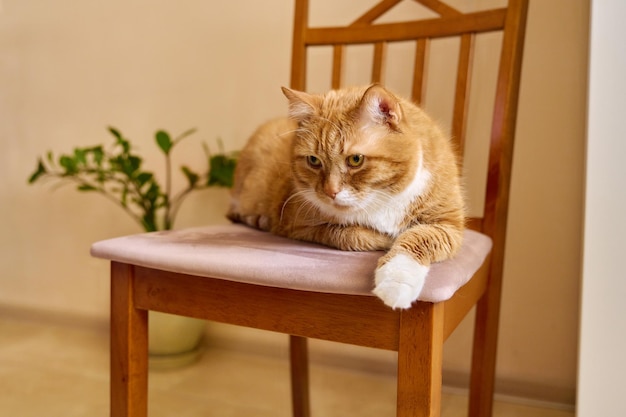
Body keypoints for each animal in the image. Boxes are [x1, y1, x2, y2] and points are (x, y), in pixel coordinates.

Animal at [227, 84, 460, 308]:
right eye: (313, 160)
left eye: (355, 160)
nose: (330, 191)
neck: (381, 198)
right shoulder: (296, 224)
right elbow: (351, 235)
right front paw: (385, 244)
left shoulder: (449, 225)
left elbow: (418, 238)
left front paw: (396, 280)